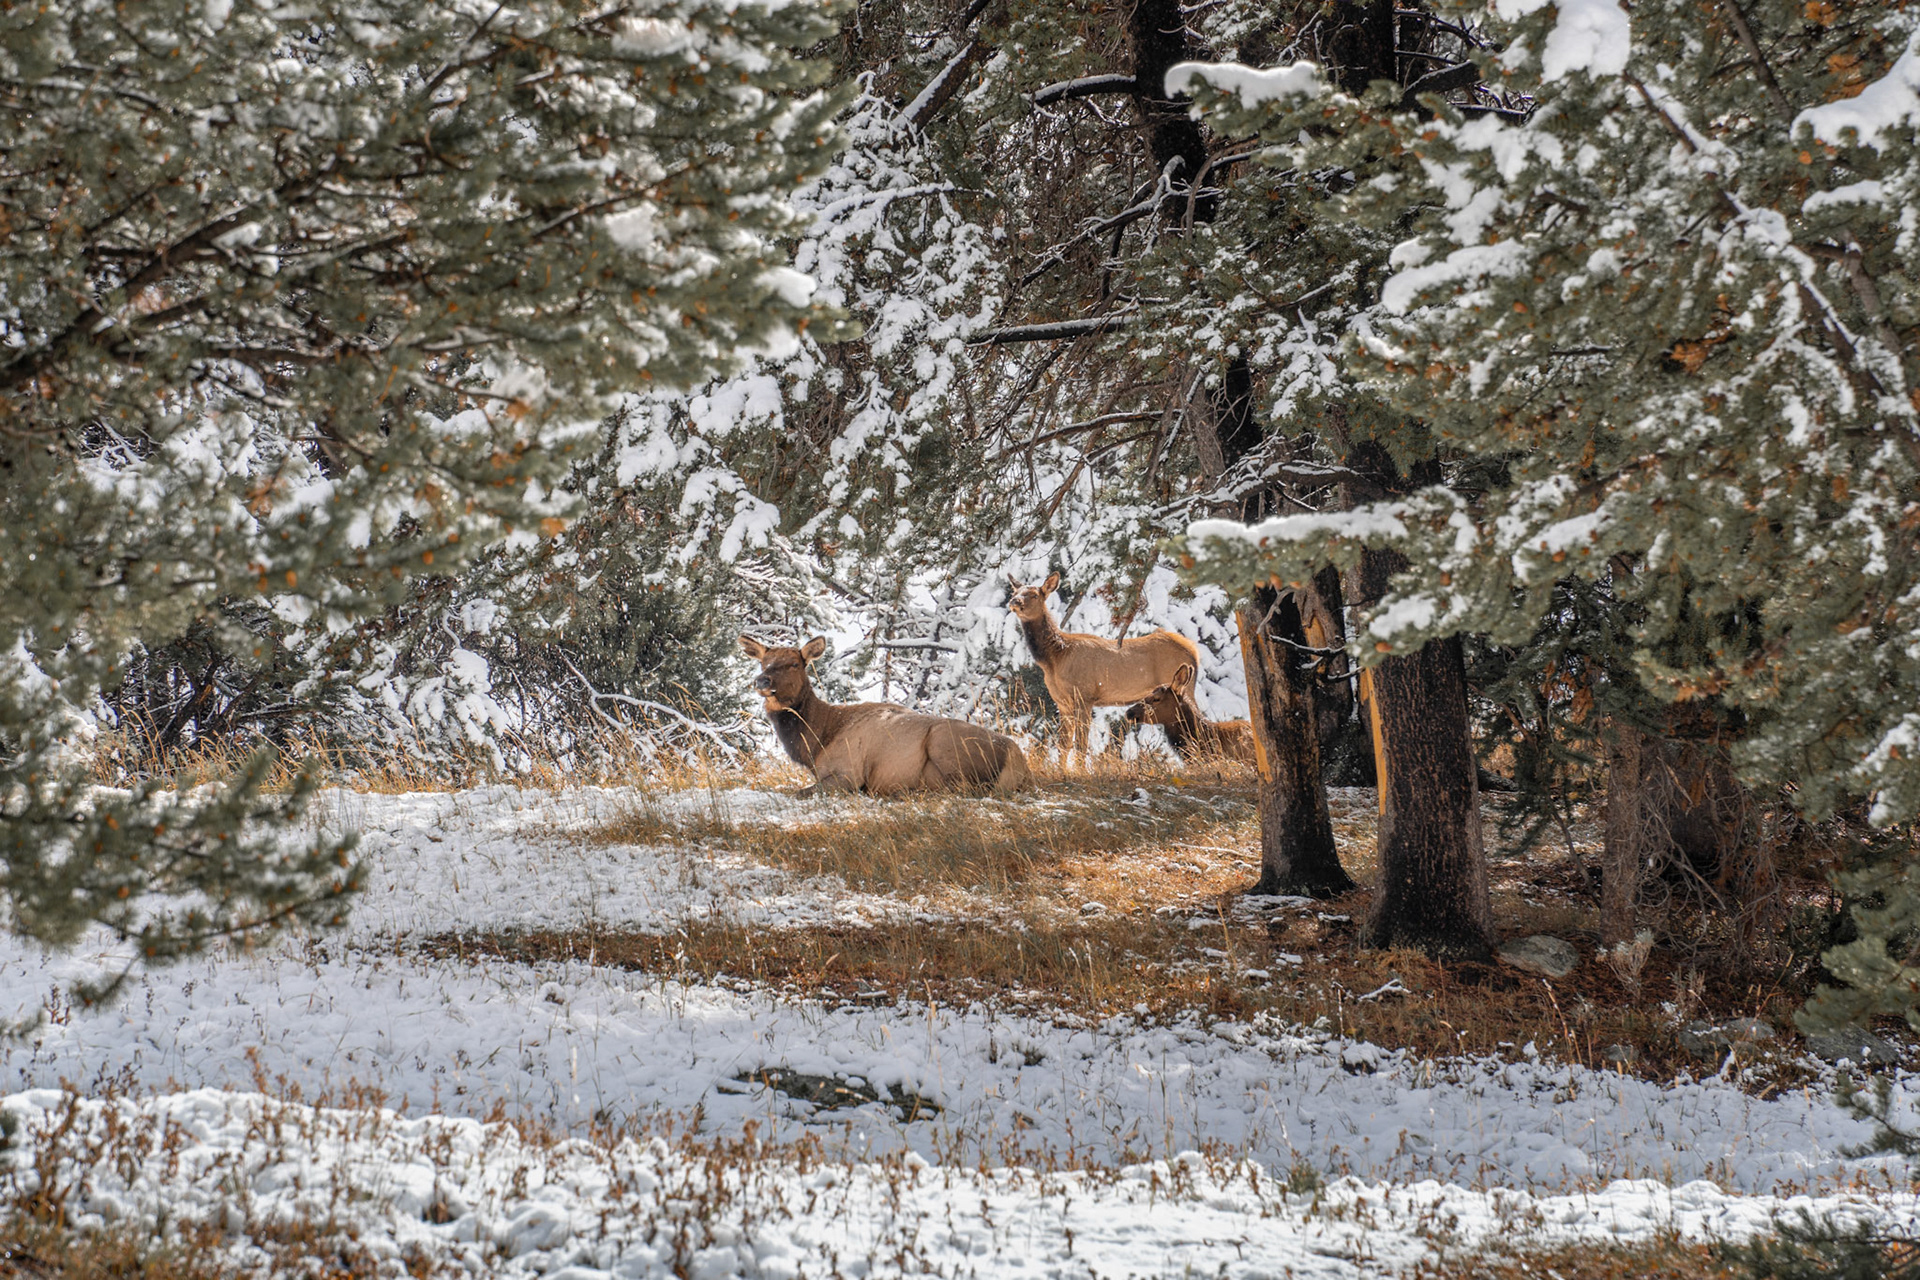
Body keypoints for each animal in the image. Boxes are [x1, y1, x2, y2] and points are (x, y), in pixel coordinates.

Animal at [740, 635, 1031, 796]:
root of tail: (1018, 760)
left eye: (794, 664)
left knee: (965, 788)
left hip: (944, 744)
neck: (817, 742)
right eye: (763, 662)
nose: (762, 681)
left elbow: (798, 792)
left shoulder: (849, 774)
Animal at [1006, 571, 1202, 762]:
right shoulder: (1062, 702)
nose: (1014, 601)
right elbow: (1064, 746)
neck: (1055, 658)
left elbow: (1081, 745)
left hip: (1183, 686)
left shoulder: (1084, 696)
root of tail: (1194, 652)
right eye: (1015, 592)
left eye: (1034, 594)